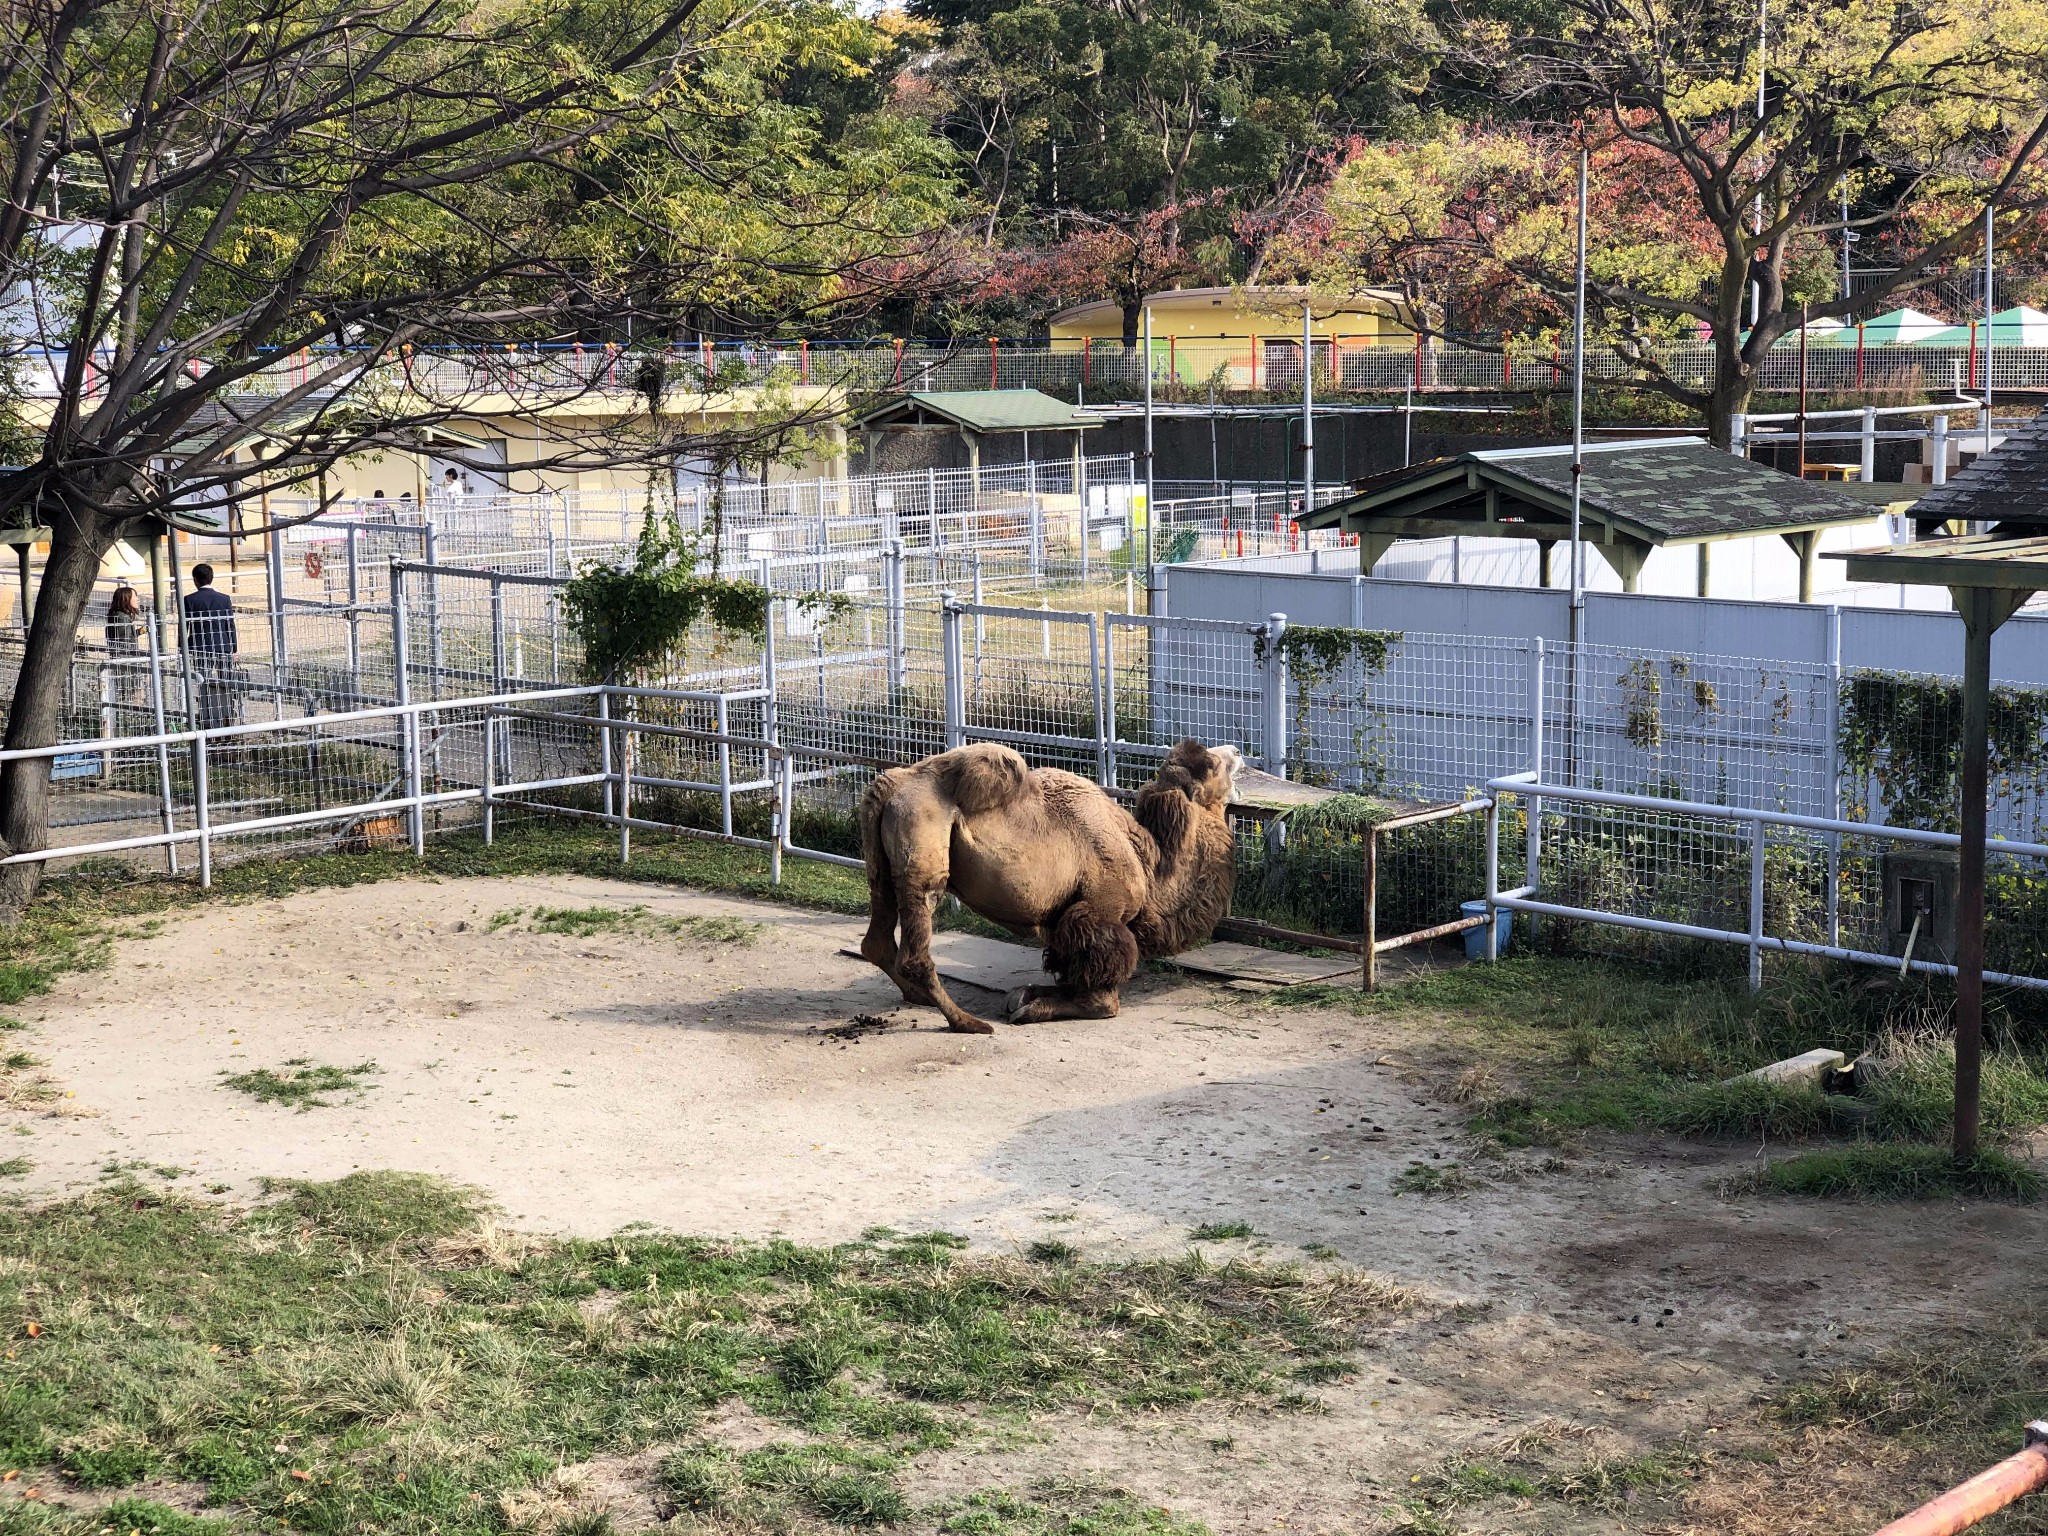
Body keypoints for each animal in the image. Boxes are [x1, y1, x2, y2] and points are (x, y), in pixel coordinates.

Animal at [856, 737, 1236, 1036]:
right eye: (1214, 766)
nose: (1235, 750)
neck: (1147, 860)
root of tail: (889, 786)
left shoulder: (1062, 916)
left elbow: (1064, 962)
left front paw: (1027, 995)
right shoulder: (1100, 911)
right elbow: (1104, 980)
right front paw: (1062, 1006)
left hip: (882, 867)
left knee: (876, 939)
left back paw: (919, 997)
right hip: (923, 850)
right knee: (915, 950)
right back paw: (967, 1022)